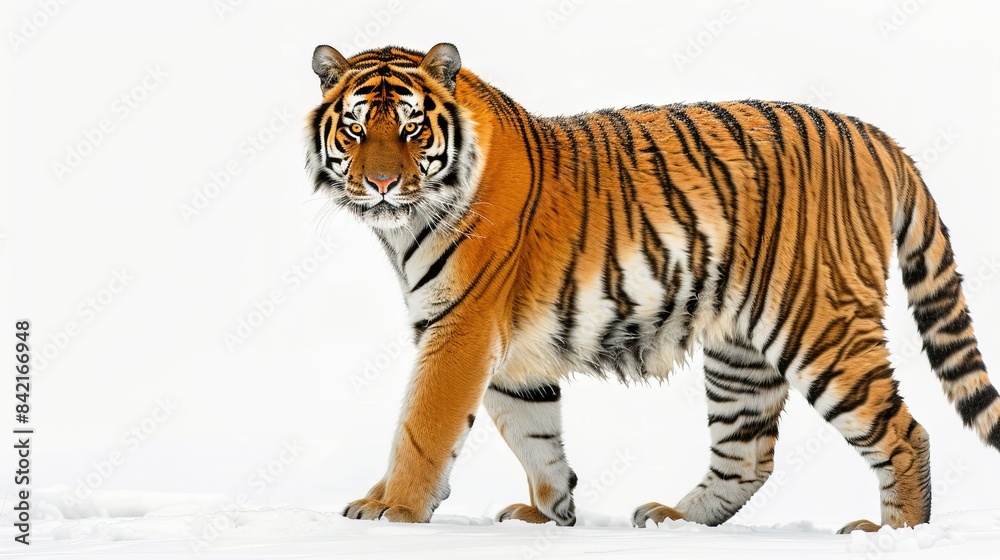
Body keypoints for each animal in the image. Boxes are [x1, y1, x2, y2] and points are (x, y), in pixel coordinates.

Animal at [305, 42, 1000, 534]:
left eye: (412, 129)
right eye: (357, 130)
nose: (382, 185)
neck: (404, 226)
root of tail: (881, 138)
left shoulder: (461, 327)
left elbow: (424, 427)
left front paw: (393, 510)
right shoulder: (508, 347)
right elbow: (534, 433)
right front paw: (551, 513)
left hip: (820, 328)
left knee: (904, 433)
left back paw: (894, 536)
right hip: (740, 353)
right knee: (748, 456)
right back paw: (676, 520)